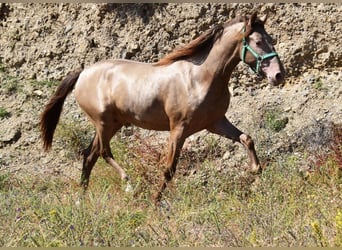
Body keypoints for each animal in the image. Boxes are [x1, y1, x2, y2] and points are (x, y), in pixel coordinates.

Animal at [40, 12, 286, 203]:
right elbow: (169, 169)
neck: (201, 78)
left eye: (270, 39)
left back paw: (81, 200)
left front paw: (256, 171)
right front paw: (156, 200)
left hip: (112, 124)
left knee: (89, 155)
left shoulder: (215, 122)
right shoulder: (179, 130)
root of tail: (83, 72)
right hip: (103, 123)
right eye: (258, 42)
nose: (278, 75)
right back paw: (128, 184)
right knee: (102, 152)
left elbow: (247, 138)